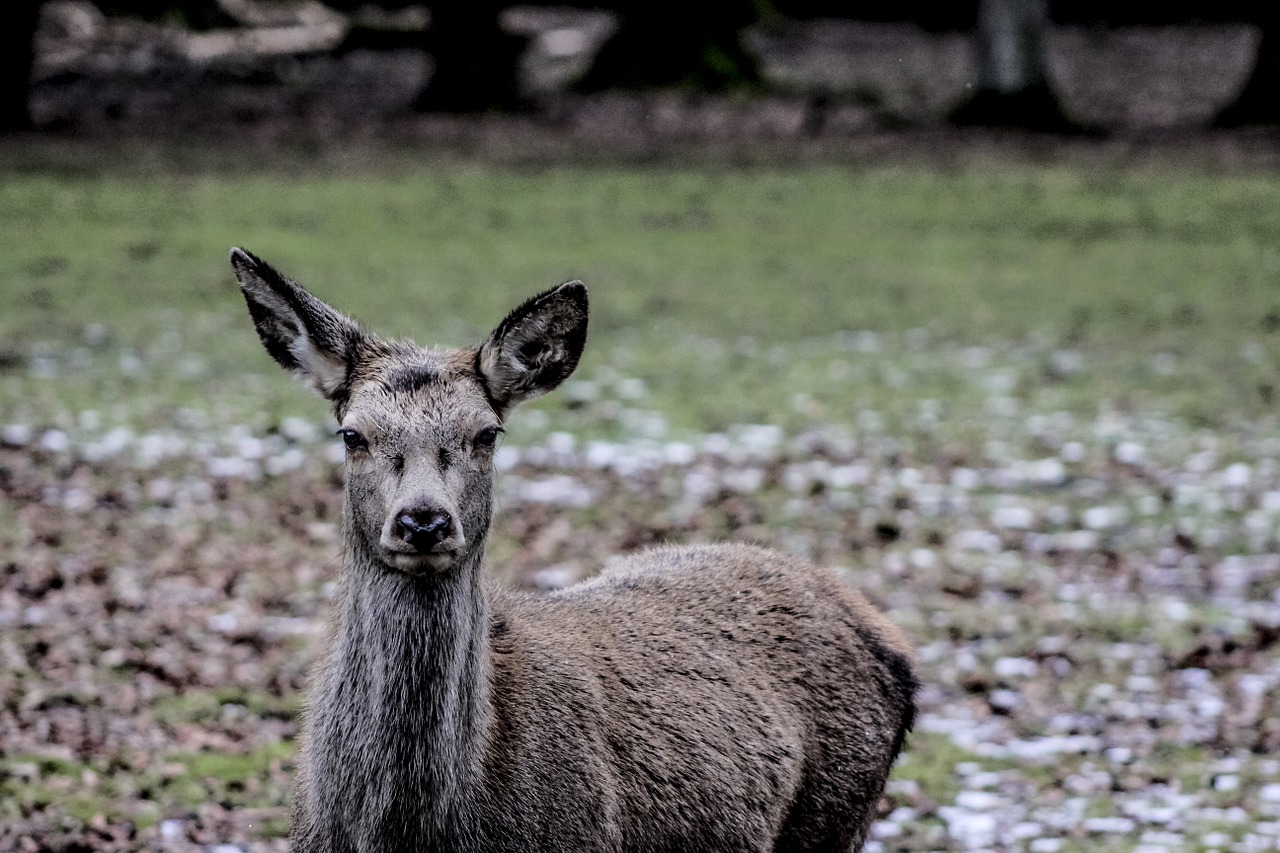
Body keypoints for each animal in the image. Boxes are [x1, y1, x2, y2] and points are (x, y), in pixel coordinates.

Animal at [227, 247, 911, 850]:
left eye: (487, 433)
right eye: (352, 435)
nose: (424, 522)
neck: (416, 831)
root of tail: (885, 634)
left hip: (836, 815)